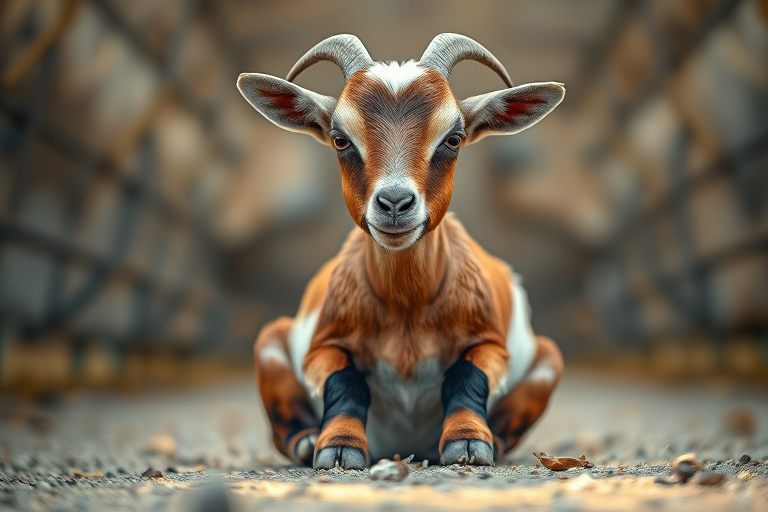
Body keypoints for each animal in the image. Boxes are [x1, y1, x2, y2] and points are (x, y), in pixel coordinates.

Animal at [238, 34, 565, 469]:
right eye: (340, 139)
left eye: (453, 139)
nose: (394, 203)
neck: (406, 308)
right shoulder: (321, 347)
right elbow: (347, 382)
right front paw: (338, 447)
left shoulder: (491, 344)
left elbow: (466, 376)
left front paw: (468, 443)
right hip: (270, 341)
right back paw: (306, 441)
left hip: (548, 356)